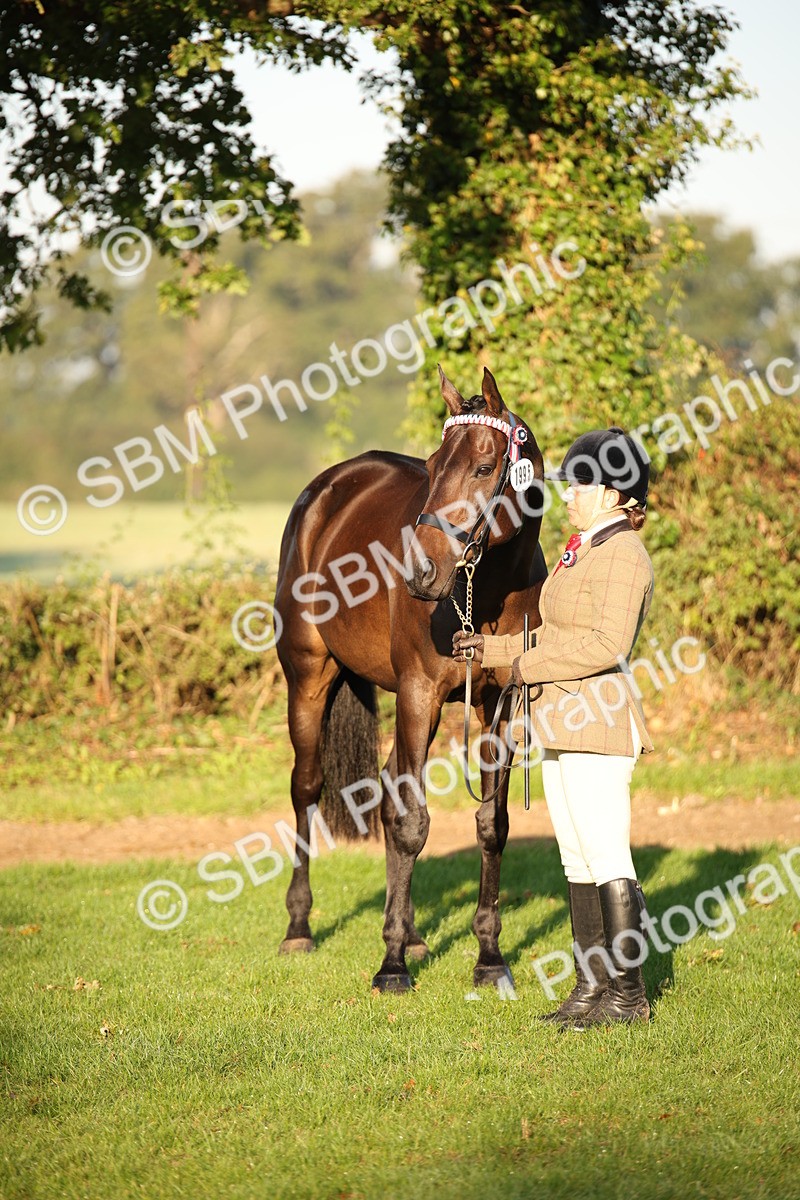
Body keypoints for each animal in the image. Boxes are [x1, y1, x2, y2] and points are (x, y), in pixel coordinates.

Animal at [273, 366, 548, 992]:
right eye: (431, 462)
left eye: (484, 466)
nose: (420, 571)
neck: (486, 591)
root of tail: (325, 491)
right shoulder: (420, 695)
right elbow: (412, 824)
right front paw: (391, 965)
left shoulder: (498, 705)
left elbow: (490, 824)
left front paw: (488, 957)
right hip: (309, 678)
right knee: (308, 788)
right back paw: (300, 927)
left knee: (385, 794)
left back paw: (415, 931)